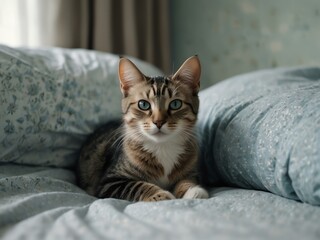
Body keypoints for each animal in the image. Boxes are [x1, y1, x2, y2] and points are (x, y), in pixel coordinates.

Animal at [76, 55, 209, 201]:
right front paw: (161, 195)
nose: (158, 122)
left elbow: (187, 179)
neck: (162, 147)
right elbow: (137, 185)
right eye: (143, 105)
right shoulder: (109, 181)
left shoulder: (191, 171)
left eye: (175, 104)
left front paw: (193, 190)